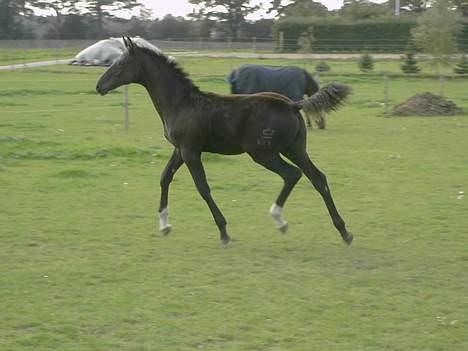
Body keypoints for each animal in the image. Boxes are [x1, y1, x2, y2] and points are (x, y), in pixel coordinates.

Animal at [95, 37, 352, 246]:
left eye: (120, 63)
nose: (99, 86)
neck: (180, 103)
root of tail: (292, 104)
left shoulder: (190, 151)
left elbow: (202, 187)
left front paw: (224, 232)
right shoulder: (180, 149)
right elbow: (165, 178)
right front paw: (164, 225)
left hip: (263, 153)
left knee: (292, 174)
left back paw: (279, 220)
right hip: (294, 149)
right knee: (318, 178)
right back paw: (344, 232)